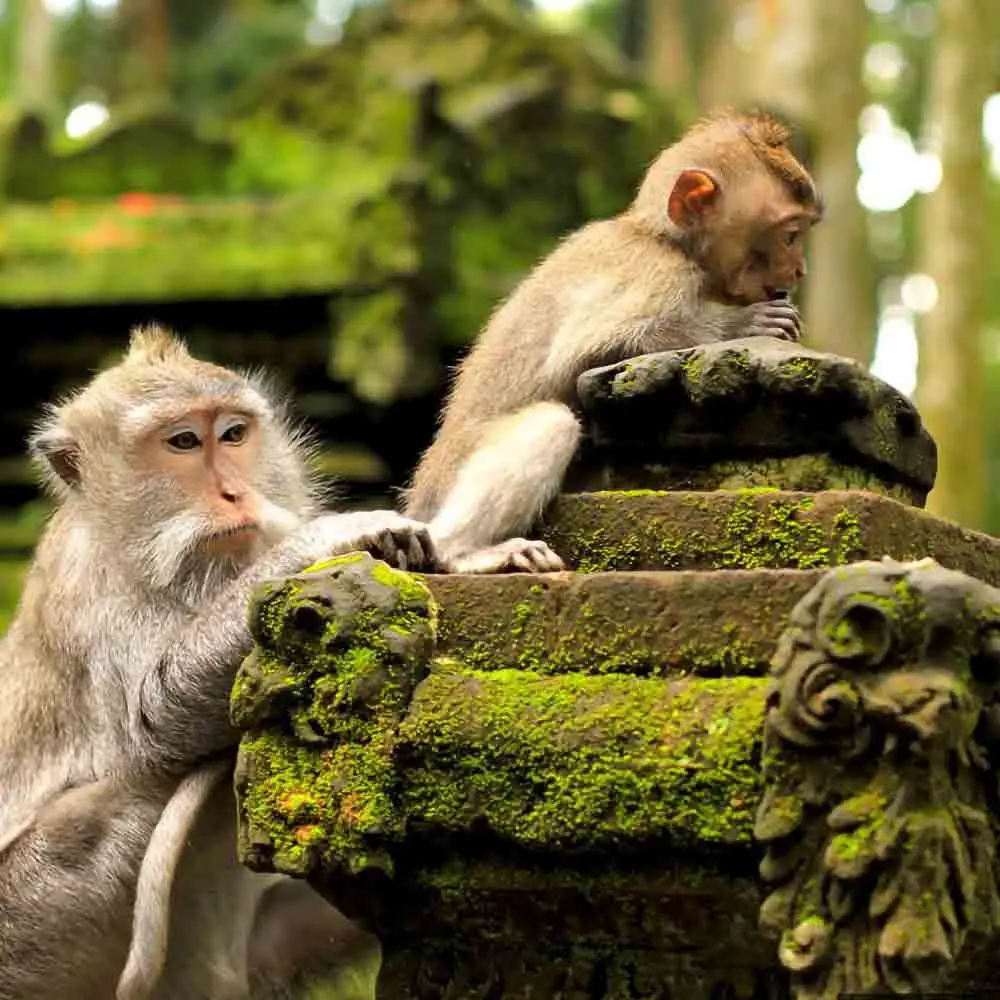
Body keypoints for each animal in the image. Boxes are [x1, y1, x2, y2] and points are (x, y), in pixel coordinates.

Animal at [0, 325, 437, 1000]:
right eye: (183, 442)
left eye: (232, 434)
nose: (236, 492)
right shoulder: (96, 592)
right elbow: (155, 718)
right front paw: (330, 536)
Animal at [405, 110, 823, 574]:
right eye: (790, 235)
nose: (800, 269)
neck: (664, 238)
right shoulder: (658, 274)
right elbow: (583, 352)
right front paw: (743, 324)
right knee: (551, 423)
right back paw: (461, 551)